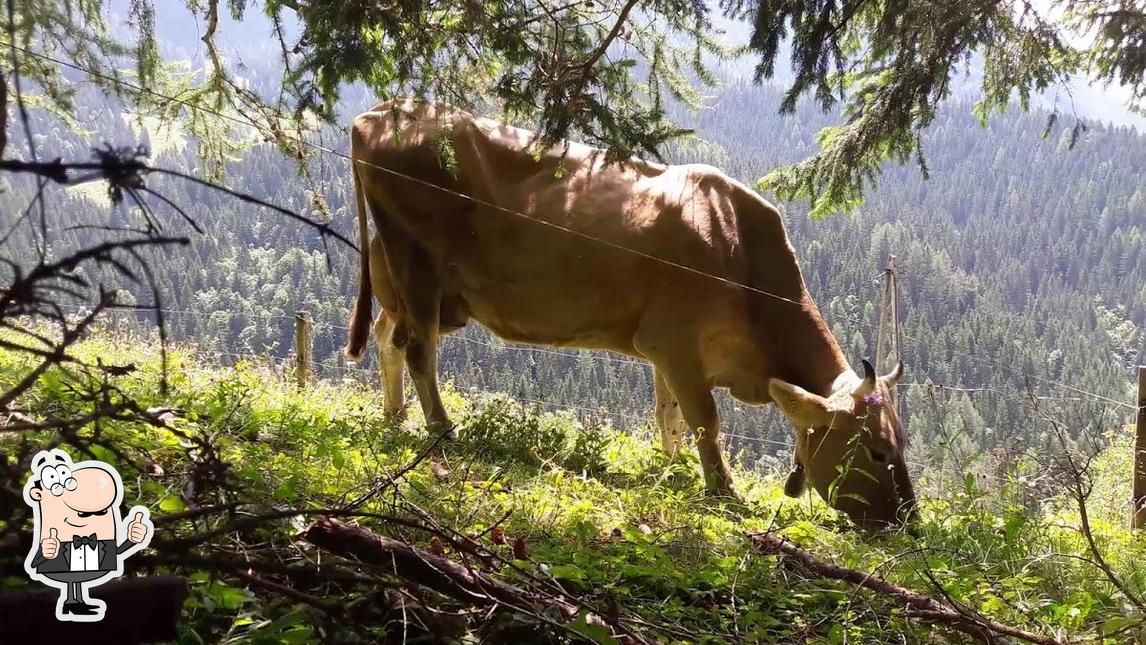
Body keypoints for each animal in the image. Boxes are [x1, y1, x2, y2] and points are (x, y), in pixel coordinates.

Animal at [343, 99, 916, 524]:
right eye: (878, 452)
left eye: (901, 444)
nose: (908, 521)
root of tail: (381, 112)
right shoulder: (677, 343)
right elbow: (704, 419)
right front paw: (723, 490)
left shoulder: (666, 349)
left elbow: (671, 418)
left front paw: (672, 472)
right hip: (415, 260)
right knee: (419, 348)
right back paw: (441, 428)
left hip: (403, 274)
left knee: (389, 335)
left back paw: (395, 417)